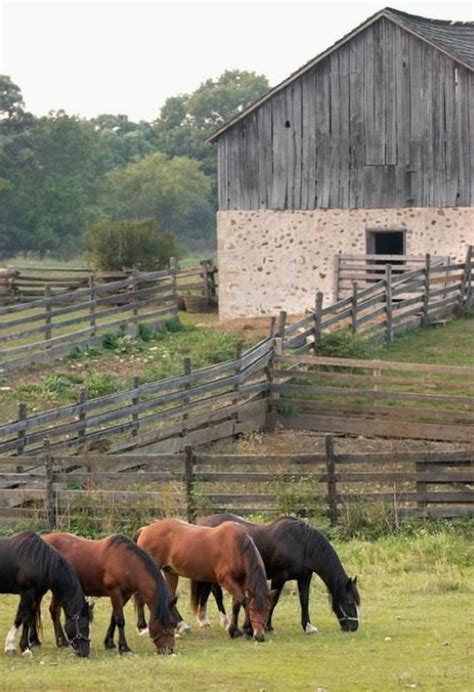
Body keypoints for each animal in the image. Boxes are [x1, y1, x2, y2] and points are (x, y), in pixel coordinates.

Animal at [32, 536, 178, 656]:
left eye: (174, 623)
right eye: (168, 622)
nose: (169, 649)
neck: (127, 562)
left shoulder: (124, 595)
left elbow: (114, 617)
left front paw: (109, 643)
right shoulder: (115, 592)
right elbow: (120, 620)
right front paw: (124, 647)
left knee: (52, 611)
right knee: (45, 610)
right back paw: (55, 641)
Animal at [133, 516, 270, 640]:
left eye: (267, 609)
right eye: (253, 609)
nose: (259, 636)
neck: (236, 547)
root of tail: (145, 529)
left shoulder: (240, 581)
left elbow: (237, 604)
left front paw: (237, 630)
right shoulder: (226, 580)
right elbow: (244, 601)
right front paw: (244, 629)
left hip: (170, 572)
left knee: (170, 597)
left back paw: (180, 626)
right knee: (140, 597)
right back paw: (143, 627)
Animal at [194, 512, 362, 636]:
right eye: (349, 602)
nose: (353, 626)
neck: (301, 544)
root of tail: (203, 522)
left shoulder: (304, 577)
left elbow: (304, 600)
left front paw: (308, 626)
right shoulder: (279, 577)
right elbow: (273, 601)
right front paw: (267, 626)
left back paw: (204, 620)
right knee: (217, 594)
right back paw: (225, 622)